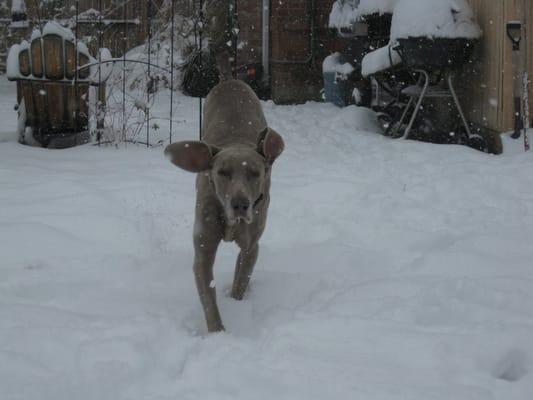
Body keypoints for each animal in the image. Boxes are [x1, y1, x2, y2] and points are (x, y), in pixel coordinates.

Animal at [165, 79, 282, 332]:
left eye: (255, 173)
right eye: (222, 172)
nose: (240, 205)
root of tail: (230, 80)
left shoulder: (251, 246)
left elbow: (241, 279)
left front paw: (235, 303)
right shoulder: (204, 248)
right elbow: (208, 295)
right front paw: (217, 332)